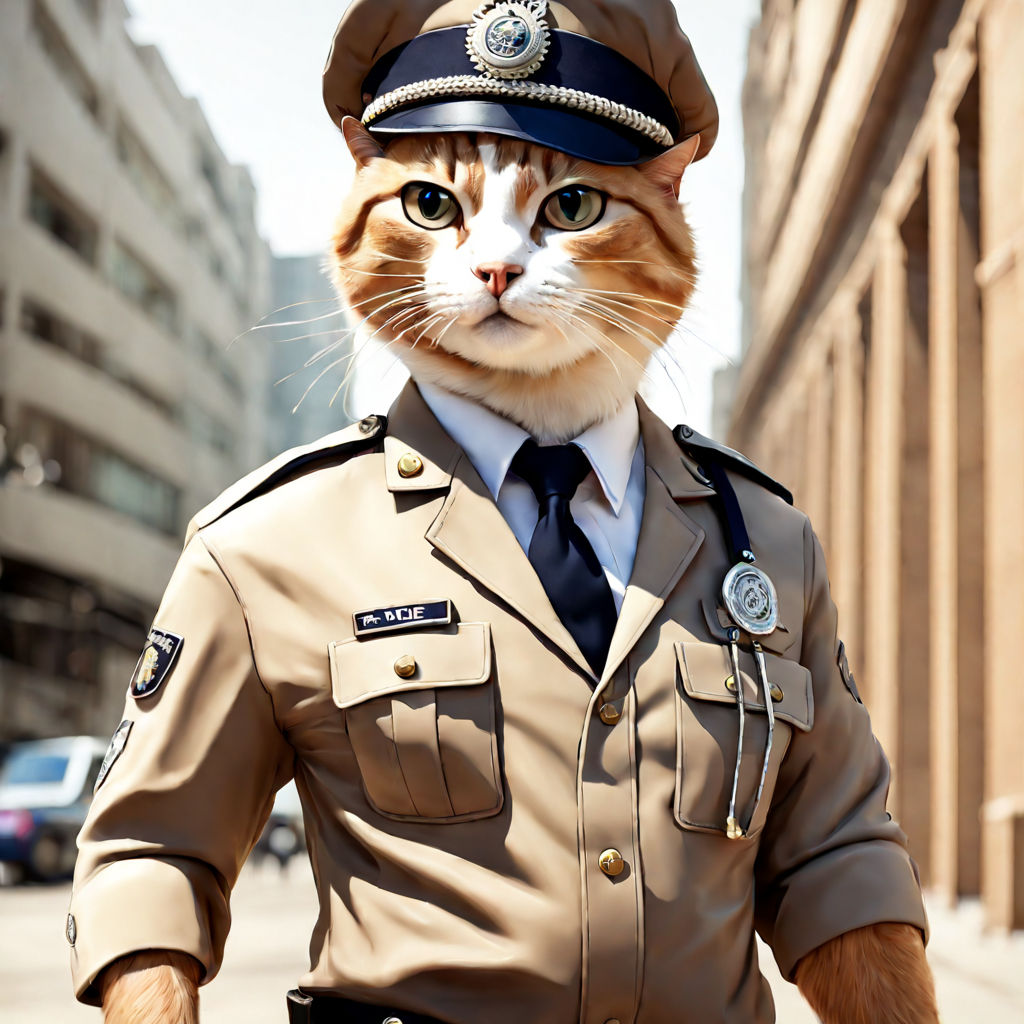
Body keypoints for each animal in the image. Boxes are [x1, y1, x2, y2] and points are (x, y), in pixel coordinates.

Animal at [97, 121, 937, 1024]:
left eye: (573, 206)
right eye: (430, 204)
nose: (496, 270)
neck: (548, 444)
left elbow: (836, 850)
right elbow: (159, 845)